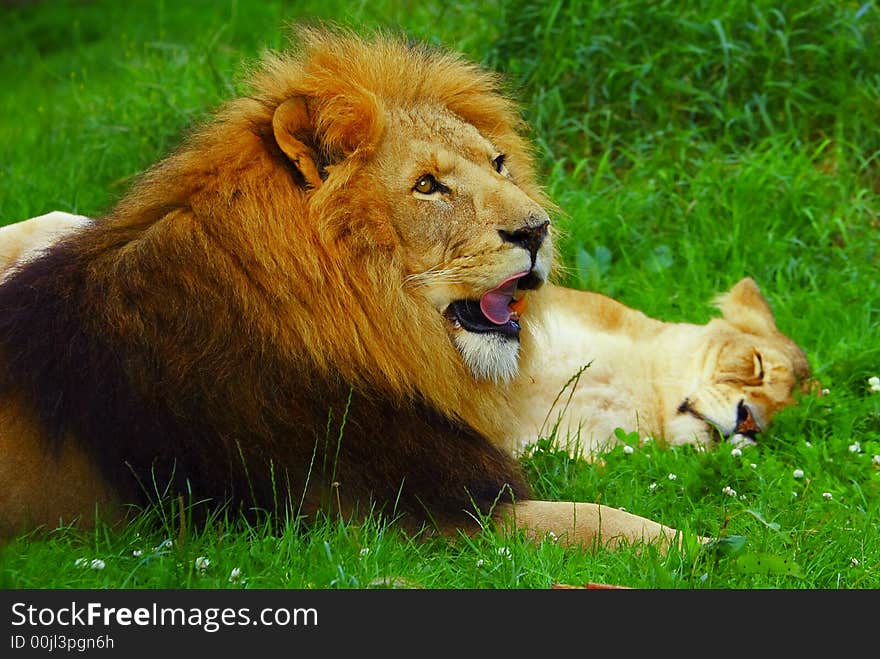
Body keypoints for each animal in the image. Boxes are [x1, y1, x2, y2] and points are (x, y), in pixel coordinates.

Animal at [0, 28, 684, 548]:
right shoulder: (393, 518)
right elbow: (596, 520)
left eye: (498, 164)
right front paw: (692, 546)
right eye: (428, 186)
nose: (538, 229)